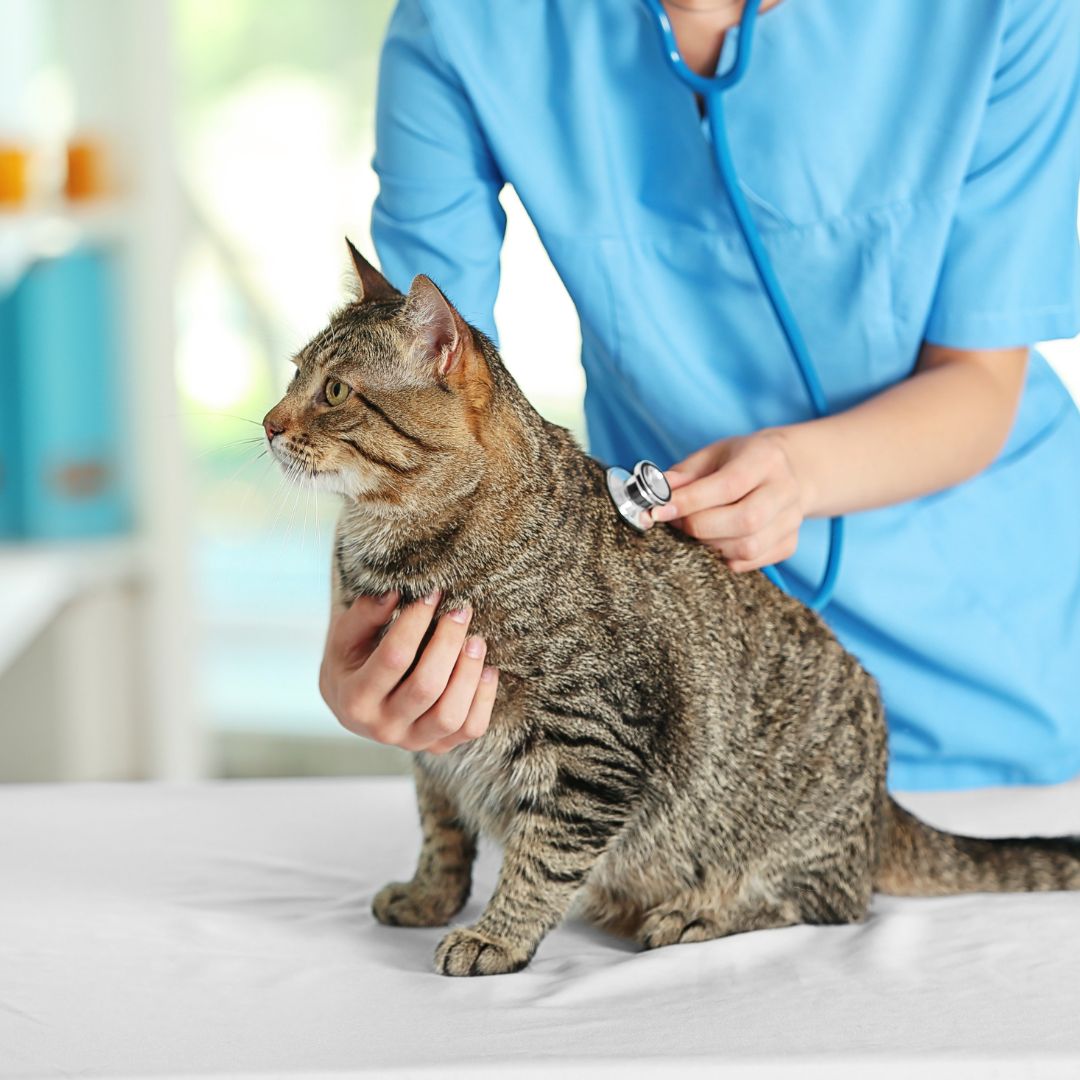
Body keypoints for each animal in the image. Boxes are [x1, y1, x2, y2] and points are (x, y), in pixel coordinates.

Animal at [263, 245, 1080, 980]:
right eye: (295, 372)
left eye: (333, 391)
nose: (269, 423)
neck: (389, 545)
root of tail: (883, 805)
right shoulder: (433, 743)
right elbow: (442, 829)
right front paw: (431, 896)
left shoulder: (594, 744)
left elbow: (543, 859)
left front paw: (499, 934)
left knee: (828, 904)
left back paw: (696, 913)